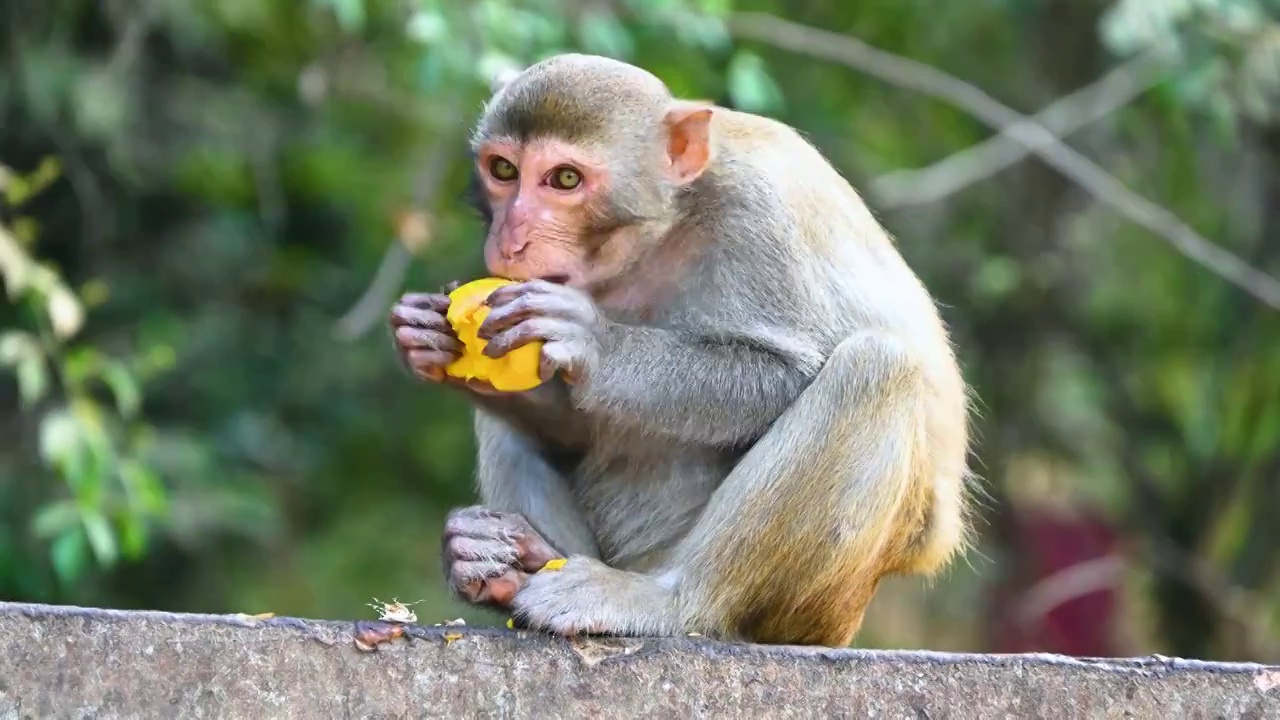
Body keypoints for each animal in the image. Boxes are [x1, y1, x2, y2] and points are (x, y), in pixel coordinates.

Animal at [389, 54, 967, 645]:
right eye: (503, 170)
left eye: (565, 179)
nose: (511, 239)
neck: (662, 228)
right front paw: (425, 335)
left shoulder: (756, 215)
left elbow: (786, 371)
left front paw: (594, 343)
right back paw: (520, 560)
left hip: (816, 607)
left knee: (878, 367)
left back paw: (670, 601)